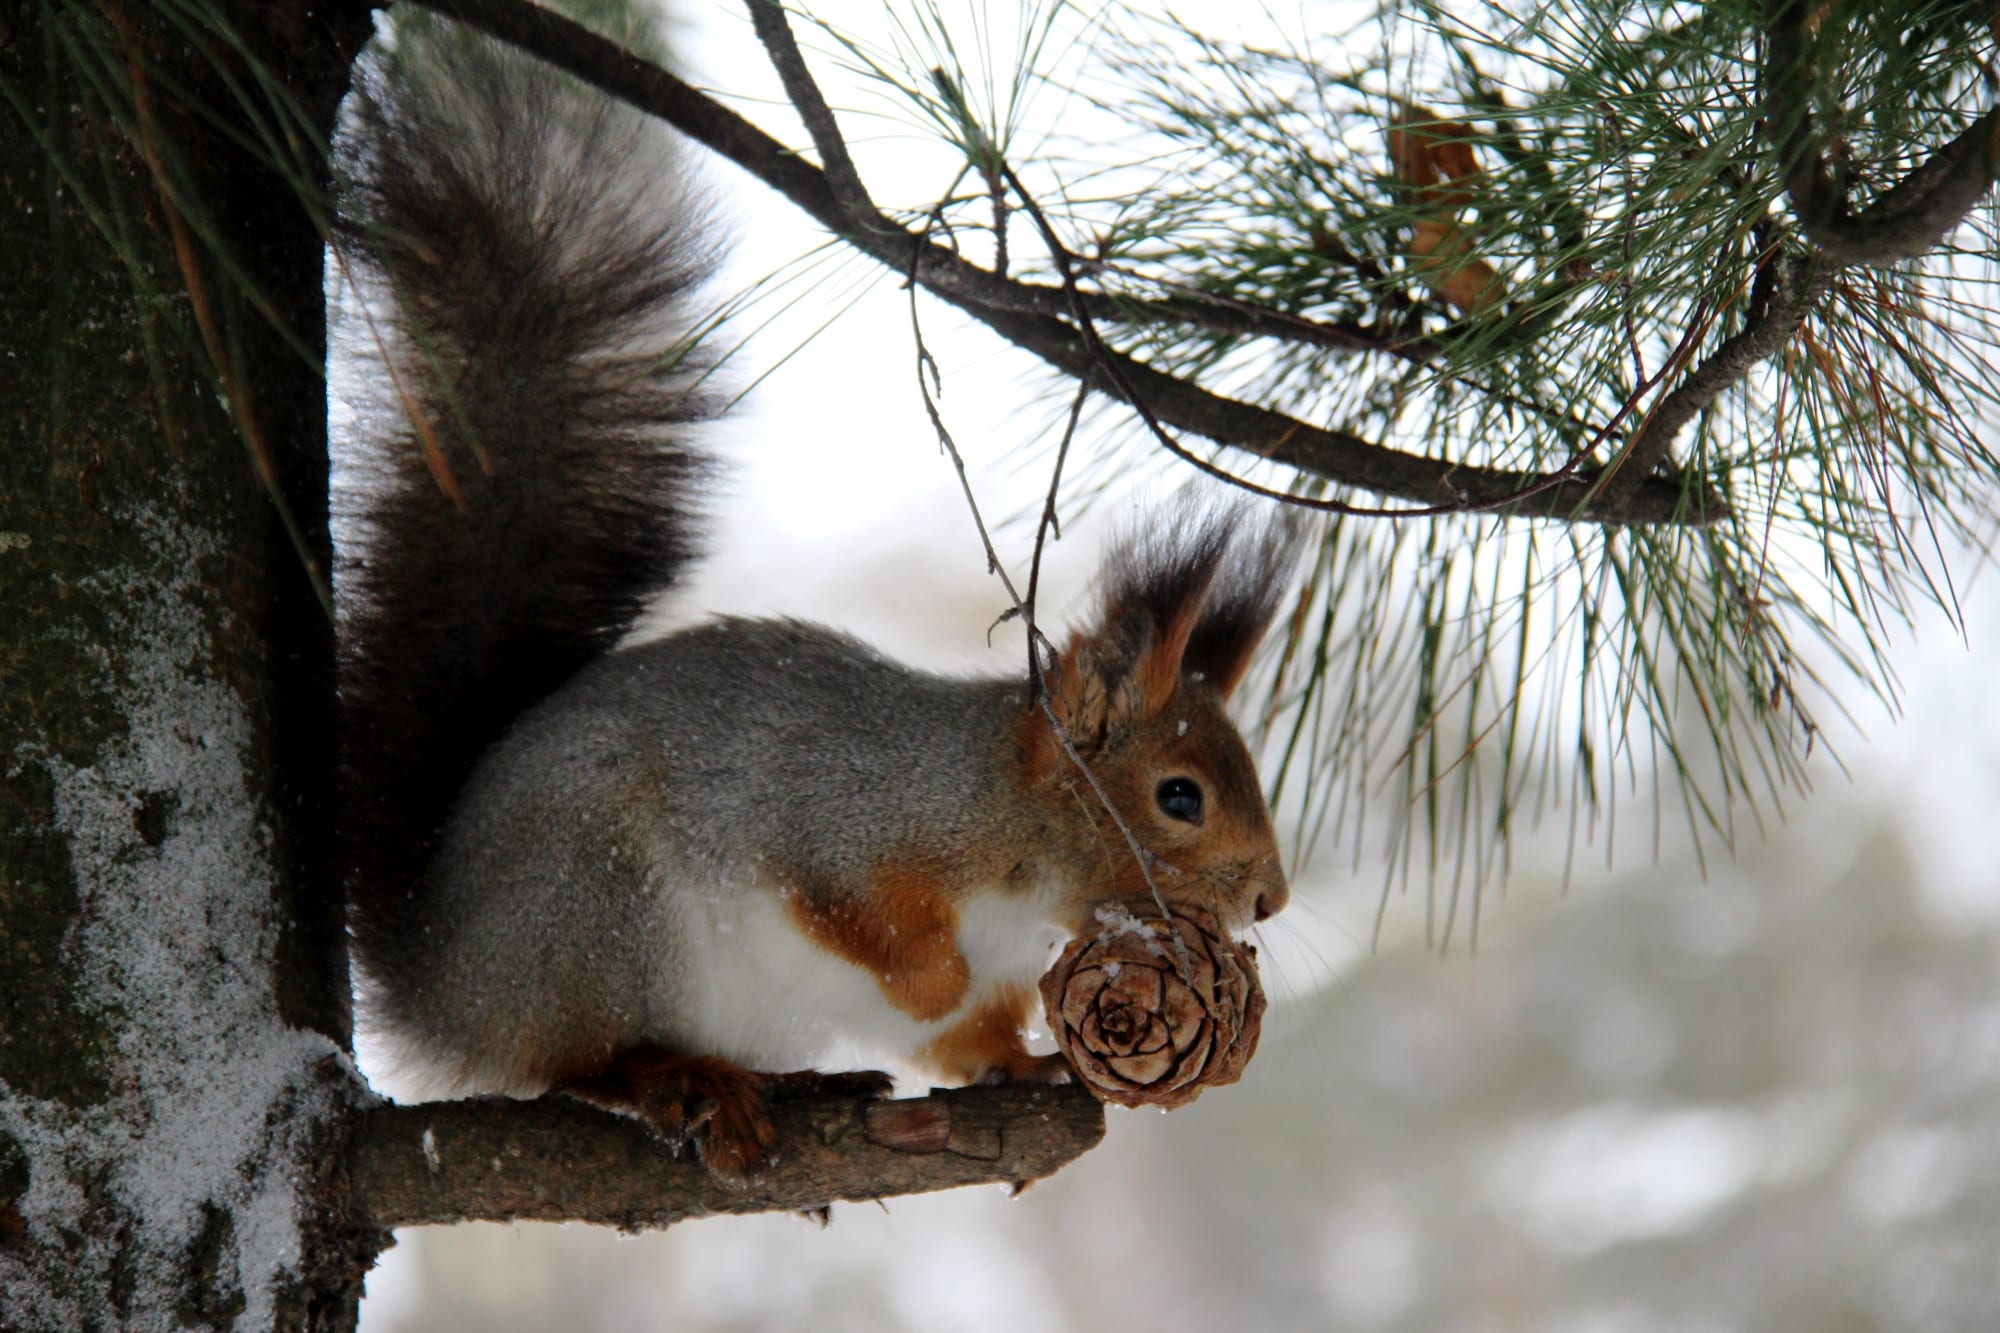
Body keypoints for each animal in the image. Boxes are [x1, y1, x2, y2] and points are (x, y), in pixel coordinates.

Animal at [334, 13, 1288, 1176]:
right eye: (1178, 796)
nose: (1270, 897)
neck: (1013, 828)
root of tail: (444, 981)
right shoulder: (843, 814)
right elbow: (862, 916)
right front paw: (933, 974)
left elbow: (961, 1035)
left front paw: (1028, 1063)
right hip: (600, 910)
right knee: (570, 1059)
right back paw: (678, 1077)